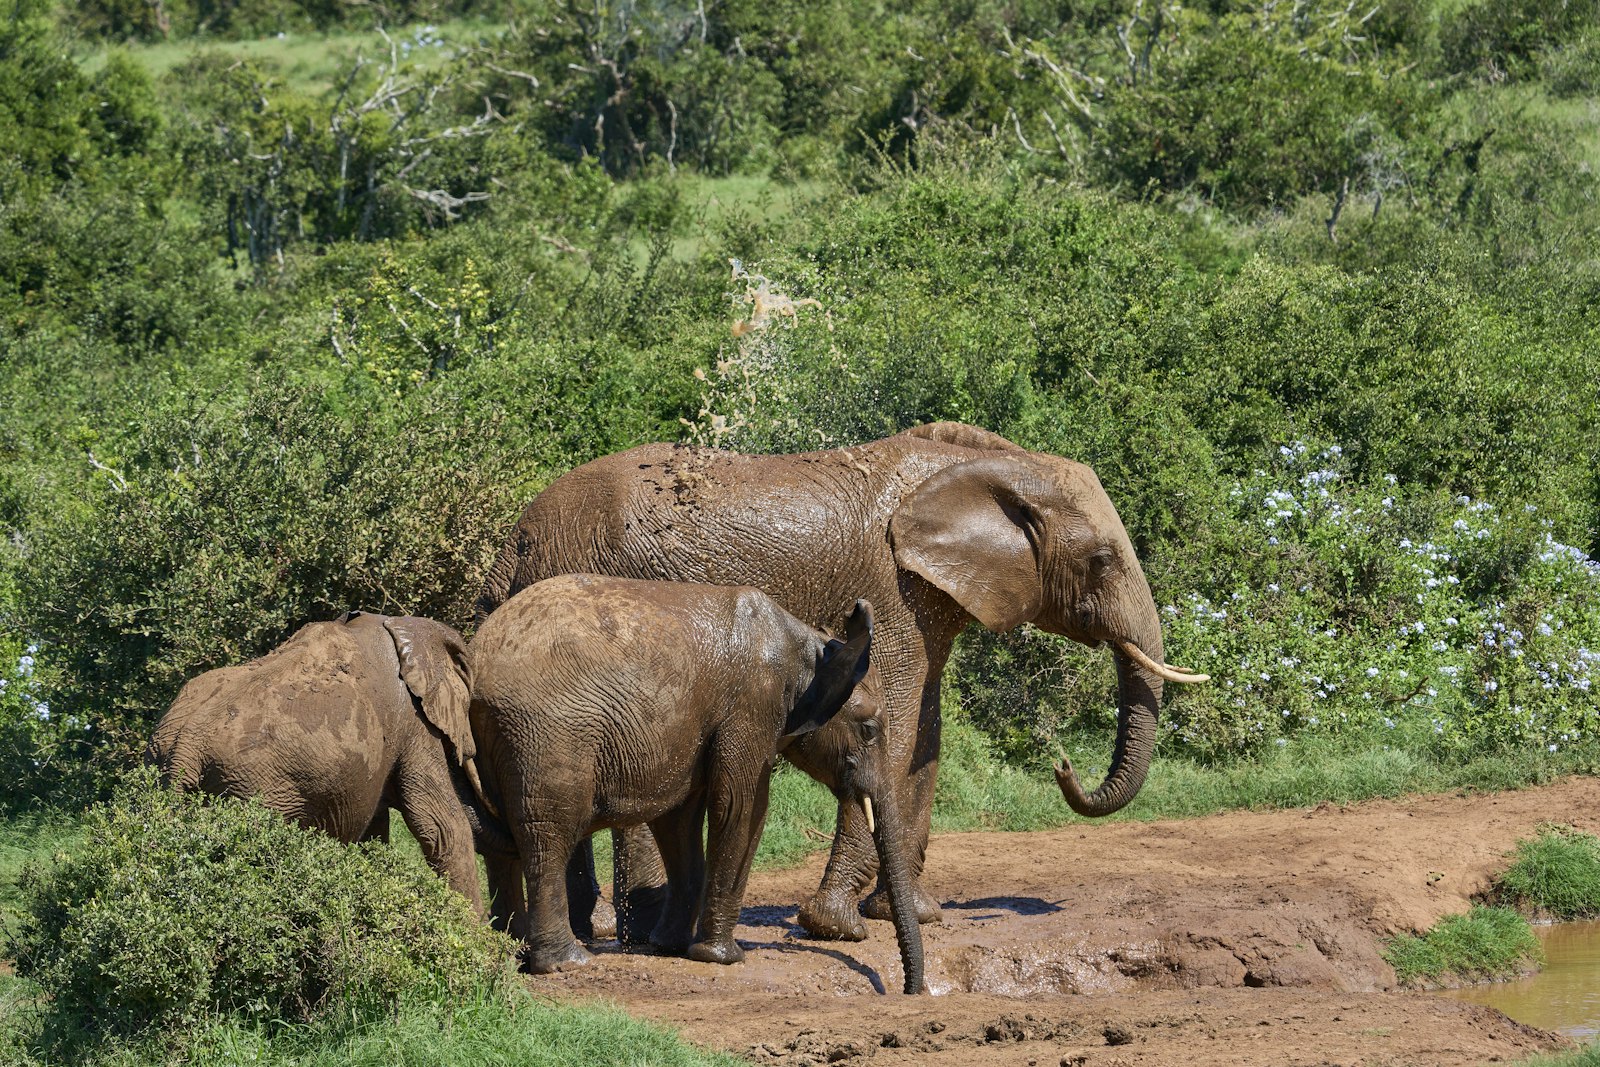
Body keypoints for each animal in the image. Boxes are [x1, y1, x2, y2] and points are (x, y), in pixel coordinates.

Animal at [147, 611, 494, 914]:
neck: (401, 624)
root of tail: (187, 743)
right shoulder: (415, 723)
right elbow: (441, 826)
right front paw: (477, 941)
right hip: (254, 788)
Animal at [467, 573, 925, 993]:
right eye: (869, 730)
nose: (909, 992)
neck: (813, 648)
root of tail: (476, 666)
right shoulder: (751, 706)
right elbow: (742, 806)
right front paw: (723, 957)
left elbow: (678, 820)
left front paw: (669, 946)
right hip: (545, 739)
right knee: (549, 839)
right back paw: (565, 963)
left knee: (503, 845)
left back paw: (513, 949)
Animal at [475, 422, 1208, 943]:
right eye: (1103, 560)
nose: (1062, 766)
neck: (992, 464)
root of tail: (514, 543)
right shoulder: (890, 591)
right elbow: (901, 722)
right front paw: (838, 925)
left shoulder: (926, 601)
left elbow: (925, 739)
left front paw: (914, 913)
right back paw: (638, 927)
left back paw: (591, 928)